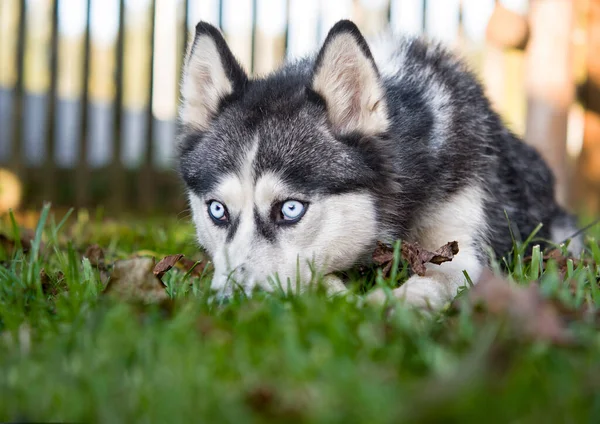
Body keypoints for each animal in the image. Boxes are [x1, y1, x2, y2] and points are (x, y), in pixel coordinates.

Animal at [179, 19, 580, 308]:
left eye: (290, 209)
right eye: (217, 210)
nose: (227, 304)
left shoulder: (466, 246)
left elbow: (438, 278)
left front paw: (387, 306)